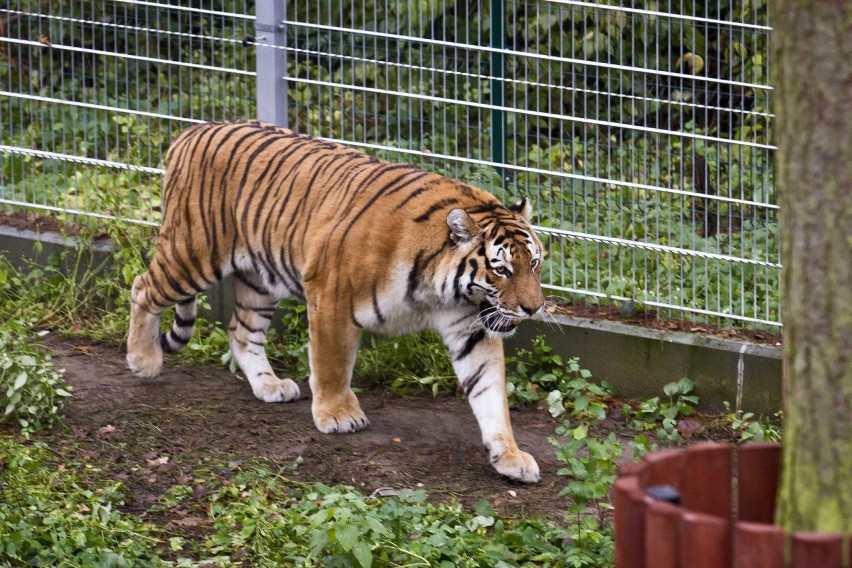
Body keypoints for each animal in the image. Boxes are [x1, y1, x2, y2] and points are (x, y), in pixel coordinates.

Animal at [130, 121, 548, 484]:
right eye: (502, 270)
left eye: (534, 263)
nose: (533, 308)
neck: (440, 289)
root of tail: (192, 130)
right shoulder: (330, 295)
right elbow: (331, 363)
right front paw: (337, 415)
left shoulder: (471, 327)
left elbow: (490, 392)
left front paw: (509, 456)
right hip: (192, 255)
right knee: (142, 288)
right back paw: (142, 359)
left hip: (259, 279)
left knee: (241, 331)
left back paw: (269, 386)